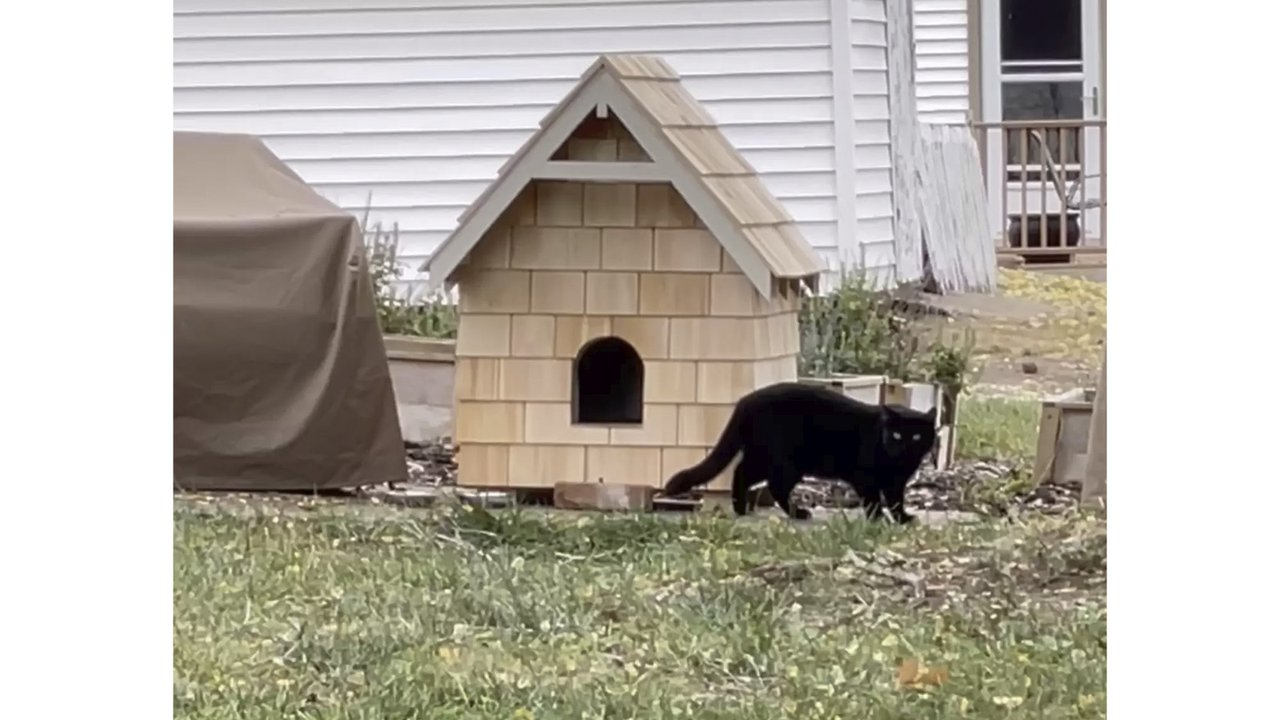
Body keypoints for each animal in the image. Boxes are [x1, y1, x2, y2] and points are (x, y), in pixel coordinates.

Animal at [660, 381, 942, 520]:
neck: (897, 462)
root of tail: (745, 401)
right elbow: (874, 499)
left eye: (917, 436)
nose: (904, 445)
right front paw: (877, 518)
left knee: (744, 473)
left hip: (764, 455)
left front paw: (903, 518)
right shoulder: (865, 477)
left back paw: (742, 508)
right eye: (896, 434)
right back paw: (796, 513)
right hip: (783, 460)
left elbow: (896, 499)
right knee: (769, 483)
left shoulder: (896, 482)